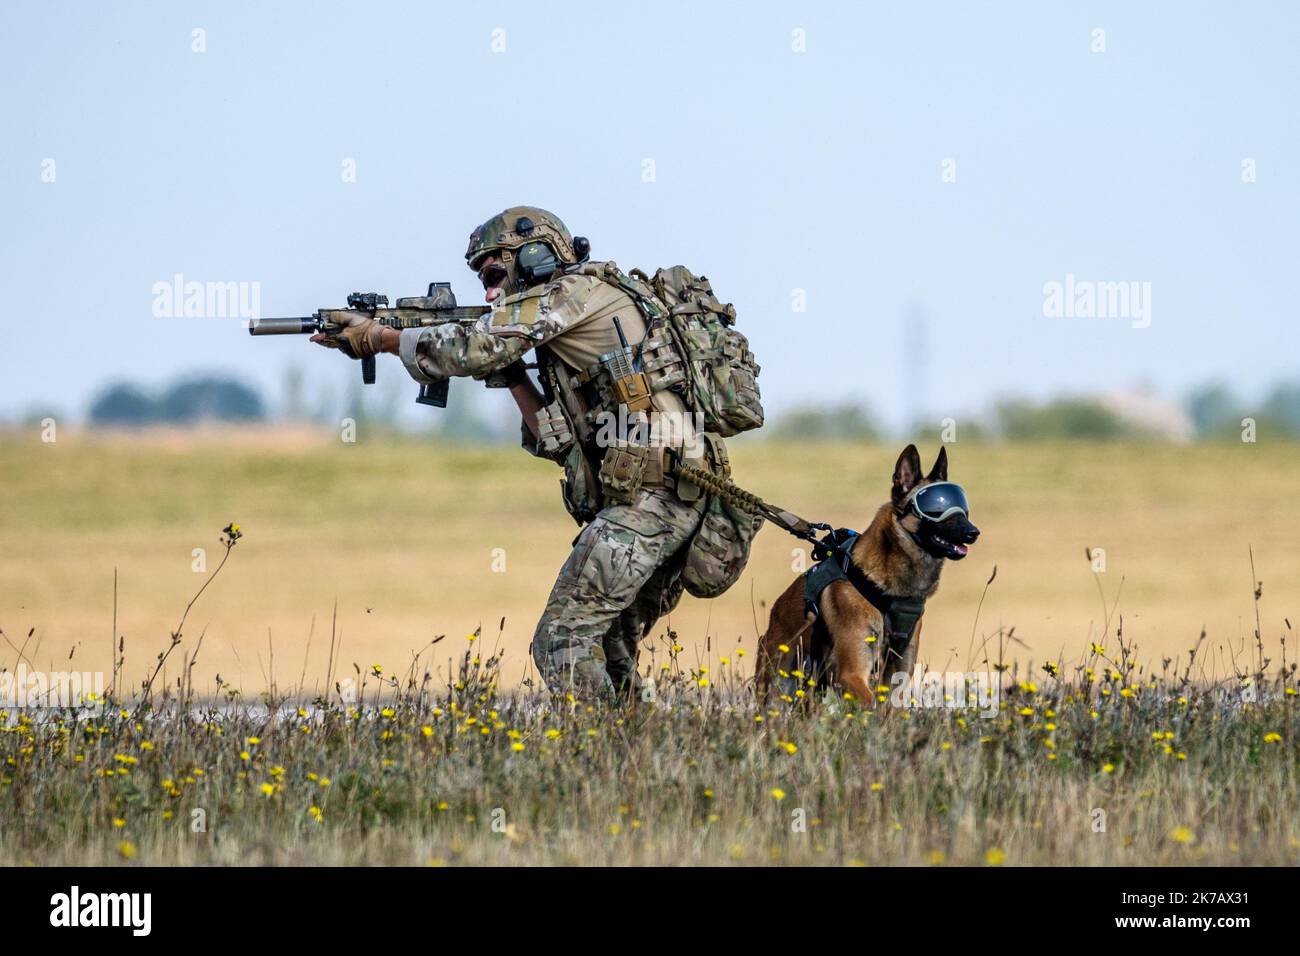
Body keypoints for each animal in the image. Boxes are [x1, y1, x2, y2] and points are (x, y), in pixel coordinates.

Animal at [759, 444, 977, 707]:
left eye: (962, 506)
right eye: (936, 507)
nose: (973, 532)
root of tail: (775, 613)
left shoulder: (896, 675)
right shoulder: (851, 674)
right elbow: (871, 705)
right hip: (778, 688)